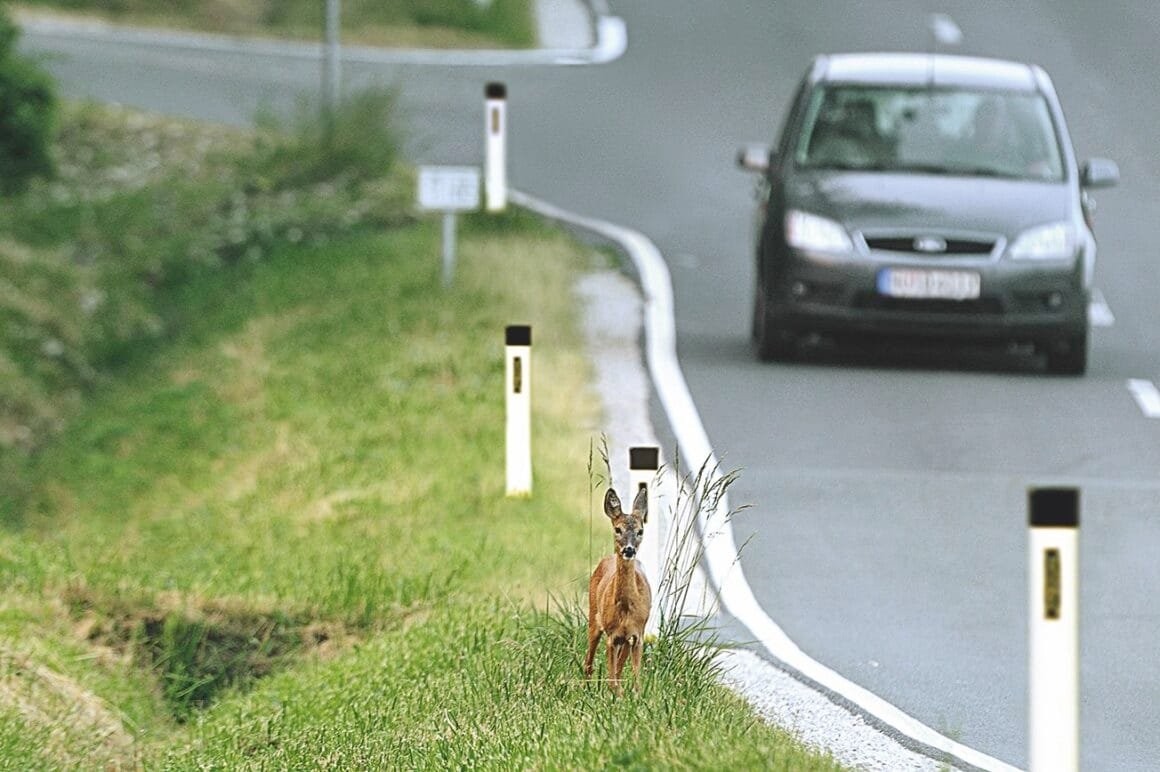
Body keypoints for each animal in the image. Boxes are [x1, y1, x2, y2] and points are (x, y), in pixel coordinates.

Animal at [584, 486, 652, 694]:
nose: (629, 550)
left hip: (626, 640)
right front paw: (614, 696)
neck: (626, 609)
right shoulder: (612, 636)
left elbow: (636, 681)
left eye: (640, 531)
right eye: (617, 529)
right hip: (594, 618)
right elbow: (612, 678)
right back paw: (586, 689)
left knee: (619, 669)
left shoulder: (638, 634)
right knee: (588, 661)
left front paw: (634, 697)